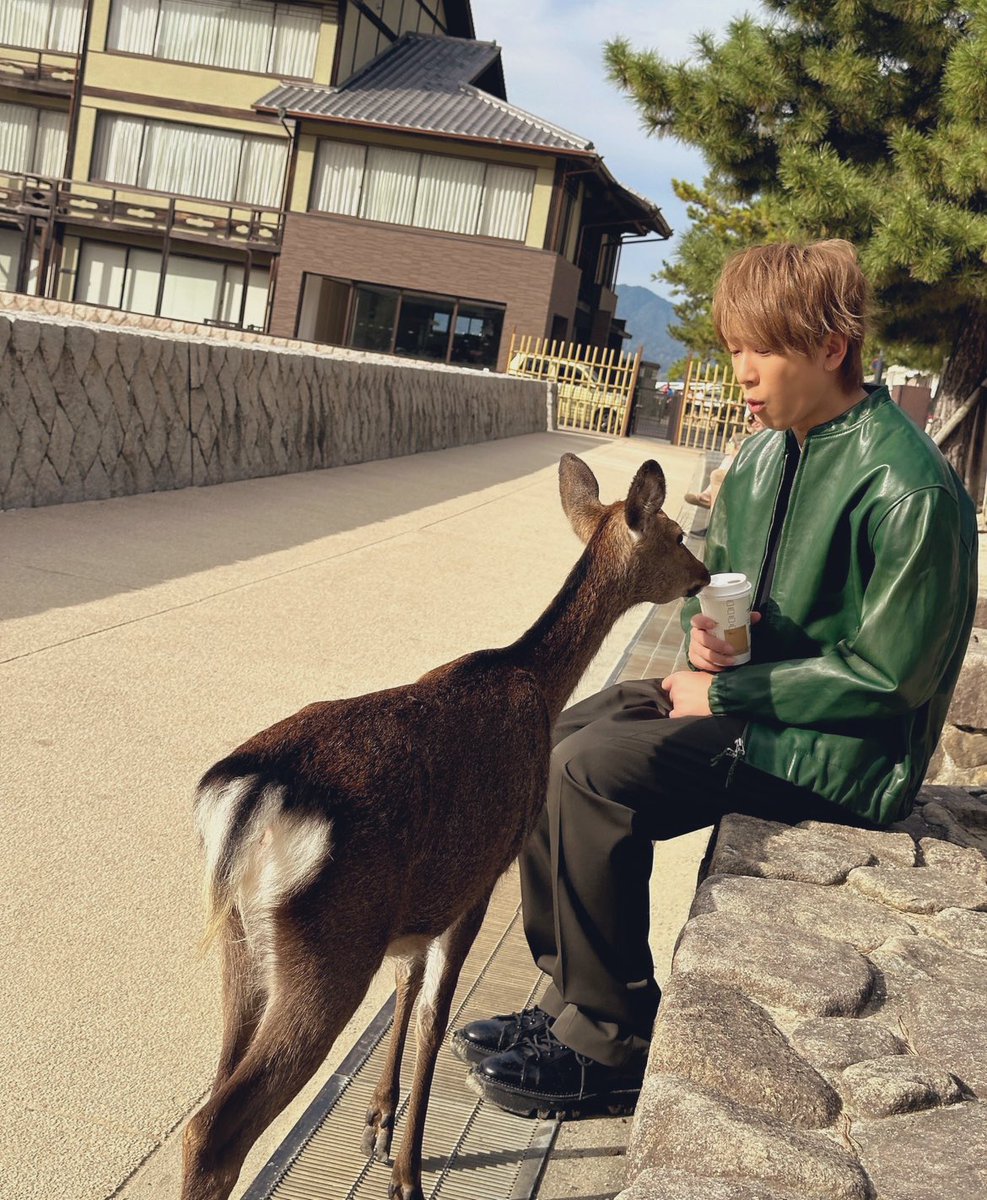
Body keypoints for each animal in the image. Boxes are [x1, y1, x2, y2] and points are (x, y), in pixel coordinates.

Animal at [181, 451, 710, 1200]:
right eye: (672, 533)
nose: (703, 575)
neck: (536, 686)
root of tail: (249, 796)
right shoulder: (483, 871)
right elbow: (435, 1017)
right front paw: (406, 1174)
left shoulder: (424, 895)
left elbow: (406, 985)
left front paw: (377, 1121)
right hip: (330, 943)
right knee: (214, 1130)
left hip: (242, 940)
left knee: (216, 1086)